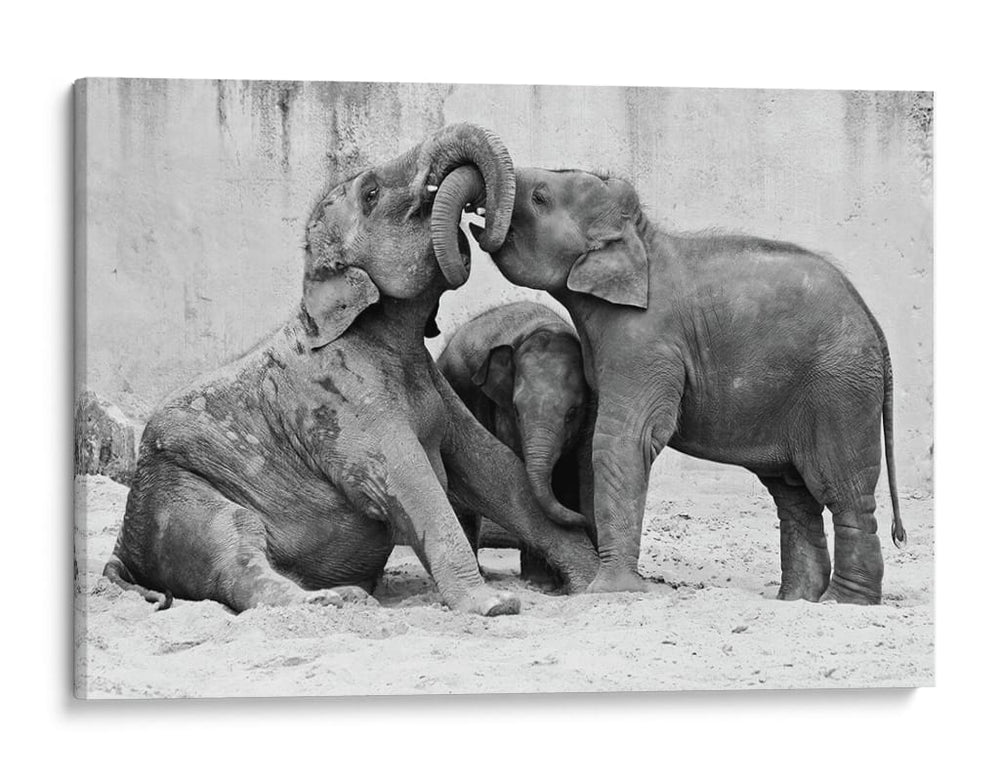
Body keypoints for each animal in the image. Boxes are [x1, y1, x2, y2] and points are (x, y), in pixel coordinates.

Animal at [436, 301, 592, 584]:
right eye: (517, 411)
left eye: (572, 413)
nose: (583, 518)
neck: (545, 327)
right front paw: (539, 583)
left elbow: (566, 476)